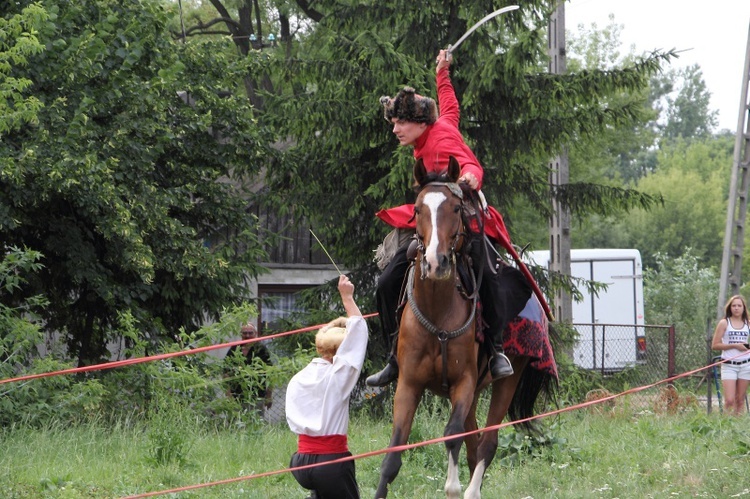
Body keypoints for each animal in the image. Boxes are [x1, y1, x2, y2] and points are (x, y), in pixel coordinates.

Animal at [378, 158, 556, 499]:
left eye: (457, 208)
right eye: (418, 209)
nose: (436, 263)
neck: (438, 312)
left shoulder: (463, 383)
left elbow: (452, 433)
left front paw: (453, 485)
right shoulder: (408, 384)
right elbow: (393, 453)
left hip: (505, 380)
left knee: (487, 443)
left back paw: (472, 489)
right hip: (473, 394)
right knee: (474, 443)